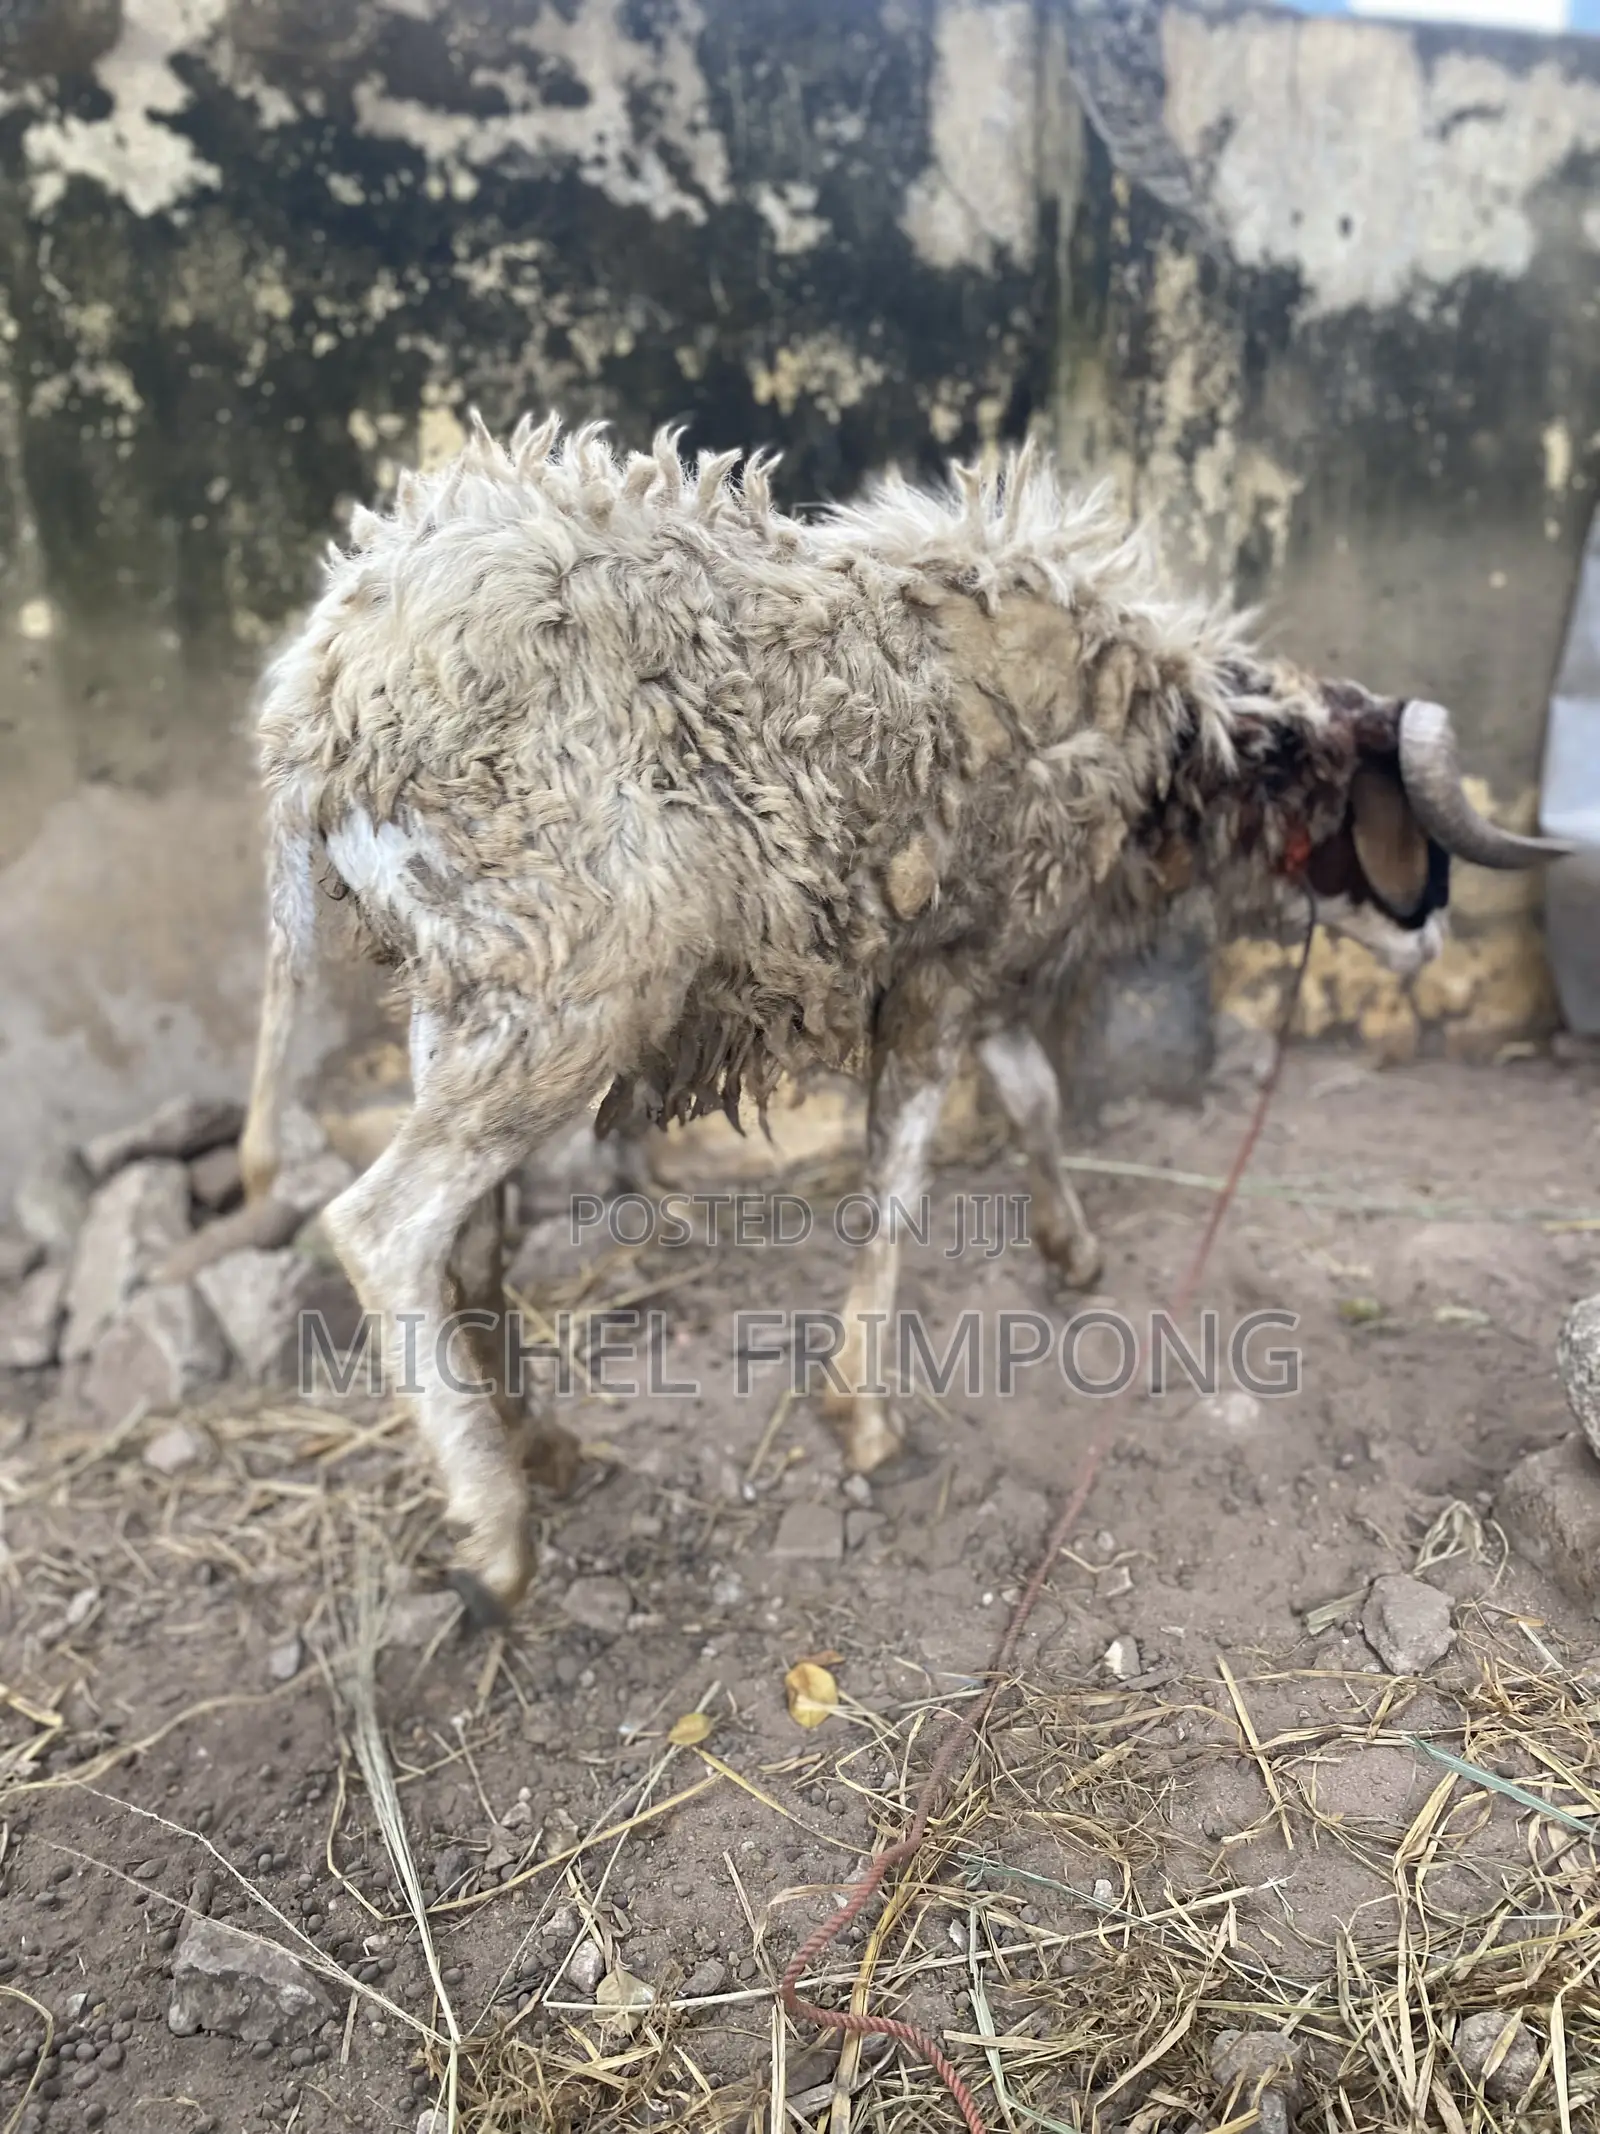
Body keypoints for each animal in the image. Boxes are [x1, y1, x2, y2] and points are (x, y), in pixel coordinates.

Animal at [239, 412, 1569, 1622]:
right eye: (1376, 809)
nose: (1431, 936)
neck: (1164, 733)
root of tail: (323, 707)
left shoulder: (977, 951)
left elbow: (1031, 1093)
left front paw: (1071, 1252)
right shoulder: (941, 973)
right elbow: (897, 1180)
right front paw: (864, 1416)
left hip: (458, 989)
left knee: (467, 1240)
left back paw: (542, 1450)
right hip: (570, 980)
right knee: (385, 1227)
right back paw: (500, 1533)